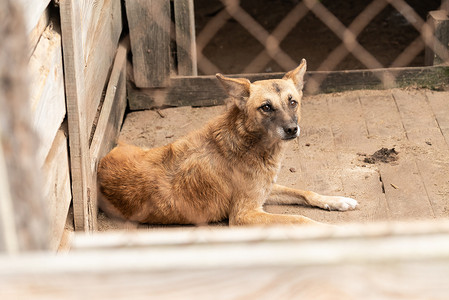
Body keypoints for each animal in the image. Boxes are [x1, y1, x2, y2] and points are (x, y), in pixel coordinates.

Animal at [98, 59, 356, 226]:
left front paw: (337, 200)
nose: (292, 129)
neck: (249, 144)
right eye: (266, 107)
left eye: (292, 102)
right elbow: (300, 219)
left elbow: (306, 192)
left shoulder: (266, 191)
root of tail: (101, 162)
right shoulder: (244, 214)